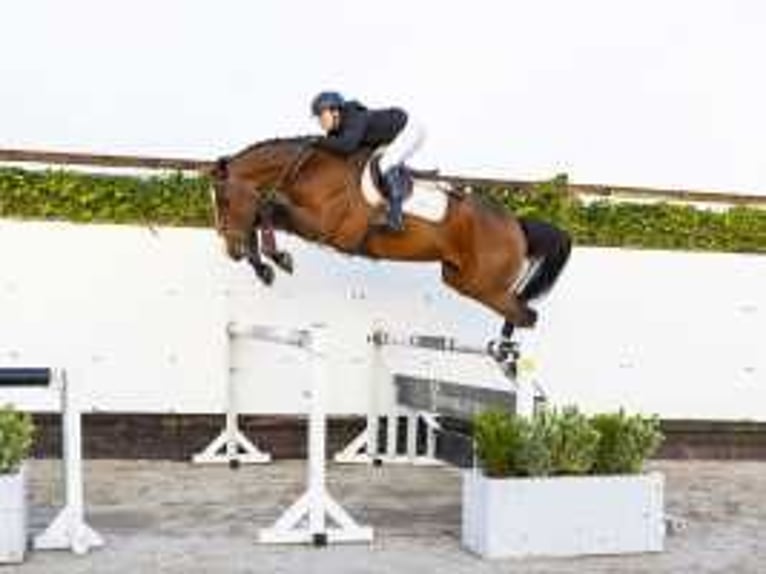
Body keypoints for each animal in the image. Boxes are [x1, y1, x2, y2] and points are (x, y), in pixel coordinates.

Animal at [208, 138, 568, 364]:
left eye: (223, 199)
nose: (230, 250)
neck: (306, 170)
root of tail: (516, 223)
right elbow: (262, 213)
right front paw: (264, 265)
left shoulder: (328, 228)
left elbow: (266, 208)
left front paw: (277, 259)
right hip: (461, 279)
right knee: (519, 309)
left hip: (484, 284)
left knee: (526, 314)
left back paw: (507, 353)